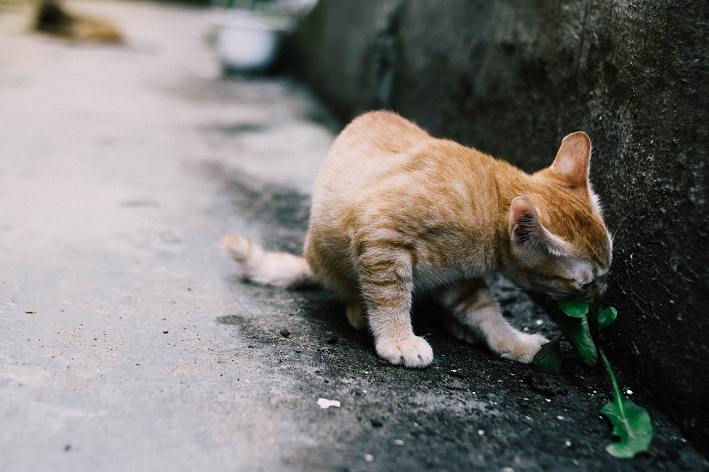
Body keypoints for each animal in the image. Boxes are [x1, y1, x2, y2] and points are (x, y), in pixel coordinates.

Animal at [224, 111, 612, 368]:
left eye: (606, 273)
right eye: (584, 284)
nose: (602, 294)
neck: (488, 201)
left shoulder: (461, 278)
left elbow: (486, 311)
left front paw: (511, 340)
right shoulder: (380, 234)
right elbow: (389, 296)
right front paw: (398, 339)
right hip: (327, 255)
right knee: (350, 290)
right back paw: (359, 310)